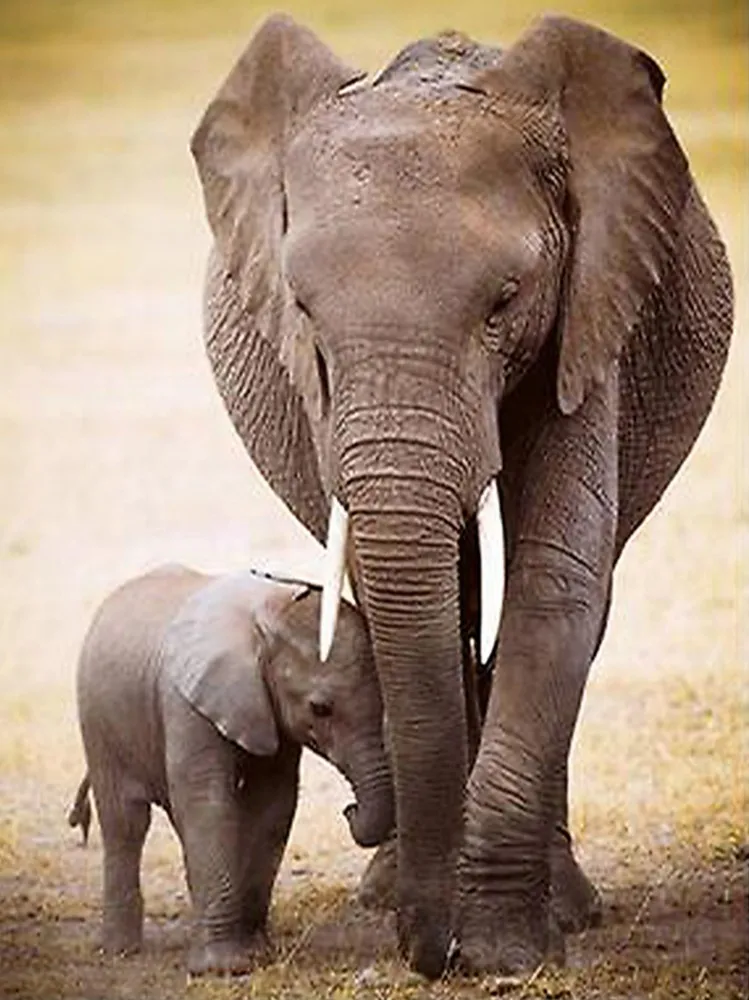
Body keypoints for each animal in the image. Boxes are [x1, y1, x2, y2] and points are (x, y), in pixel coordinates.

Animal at [70, 564, 393, 977]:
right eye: (320, 709)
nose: (349, 810)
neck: (268, 614)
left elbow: (273, 803)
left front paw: (256, 952)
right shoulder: (186, 702)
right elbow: (208, 802)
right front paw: (223, 968)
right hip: (98, 719)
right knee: (125, 822)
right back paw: (120, 950)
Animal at [189, 13, 734, 978]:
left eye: (504, 301)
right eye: (302, 309)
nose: (427, 951)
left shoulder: (591, 304)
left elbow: (556, 575)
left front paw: (505, 952)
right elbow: (413, 588)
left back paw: (564, 906)